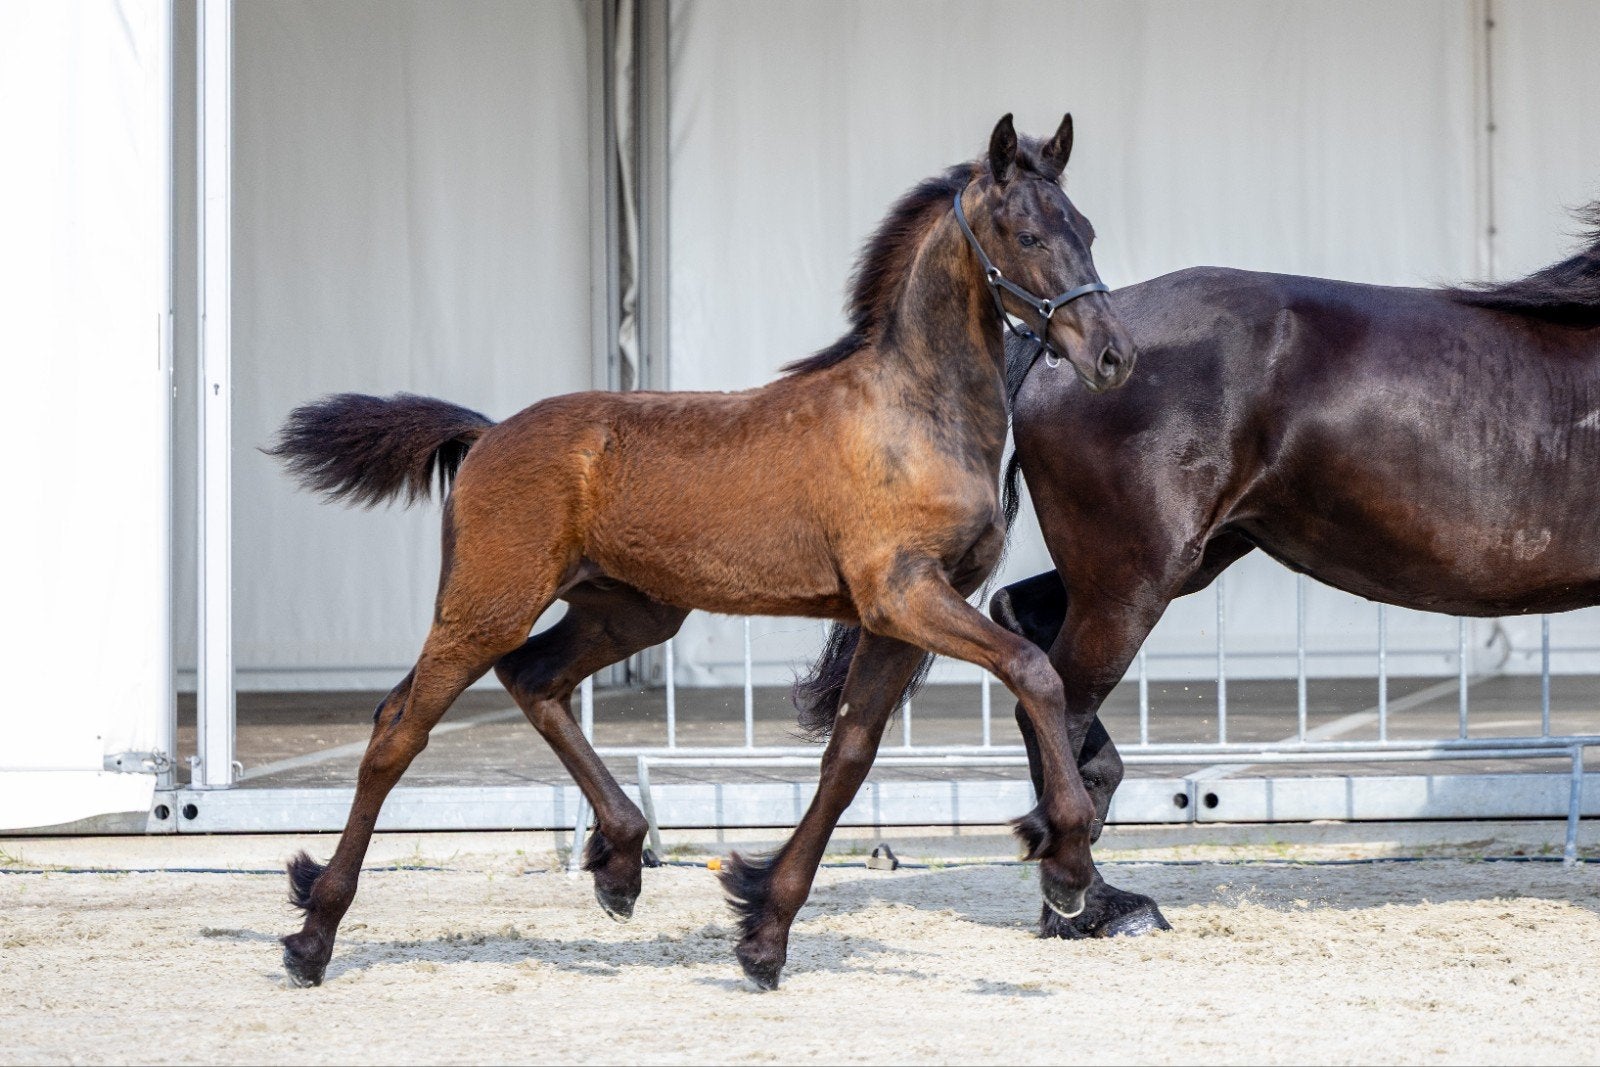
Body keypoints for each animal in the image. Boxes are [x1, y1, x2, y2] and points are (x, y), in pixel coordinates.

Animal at [266, 114, 1135, 990]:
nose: (1112, 355)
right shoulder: (903, 595)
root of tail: (485, 436)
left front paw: (762, 931)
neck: (915, 412)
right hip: (487, 603)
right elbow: (1034, 671)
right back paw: (313, 935)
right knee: (398, 729)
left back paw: (619, 863)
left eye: (1089, 230)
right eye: (1028, 234)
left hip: (631, 612)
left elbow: (848, 756)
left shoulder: (893, 619)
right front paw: (1065, 863)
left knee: (534, 678)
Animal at [951, 201, 1600, 939]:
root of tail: (1071, 345)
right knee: (1061, 700)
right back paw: (1084, 901)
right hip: (1134, 578)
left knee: (1025, 629)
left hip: (1172, 563)